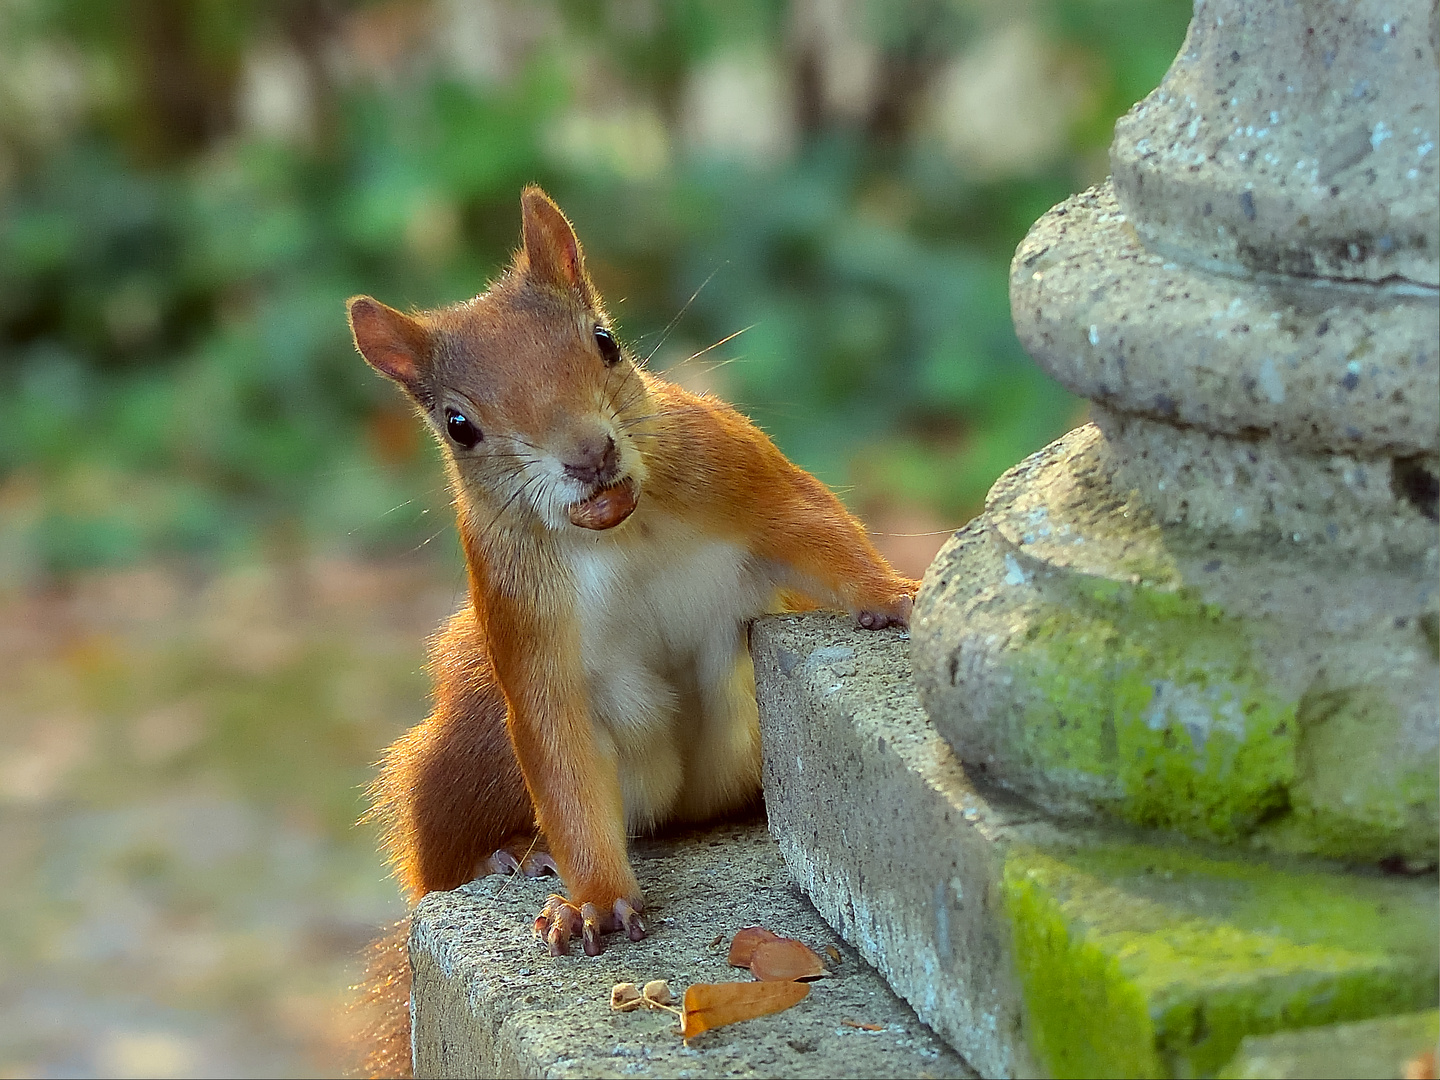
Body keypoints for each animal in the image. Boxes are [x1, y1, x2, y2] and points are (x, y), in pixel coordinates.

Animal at [344, 190, 915, 1077]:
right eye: (458, 424)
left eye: (605, 341)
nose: (589, 455)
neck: (619, 530)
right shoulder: (523, 621)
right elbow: (562, 749)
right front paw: (592, 900)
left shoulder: (736, 472)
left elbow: (819, 533)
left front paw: (893, 595)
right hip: (466, 743)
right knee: (440, 854)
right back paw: (514, 852)